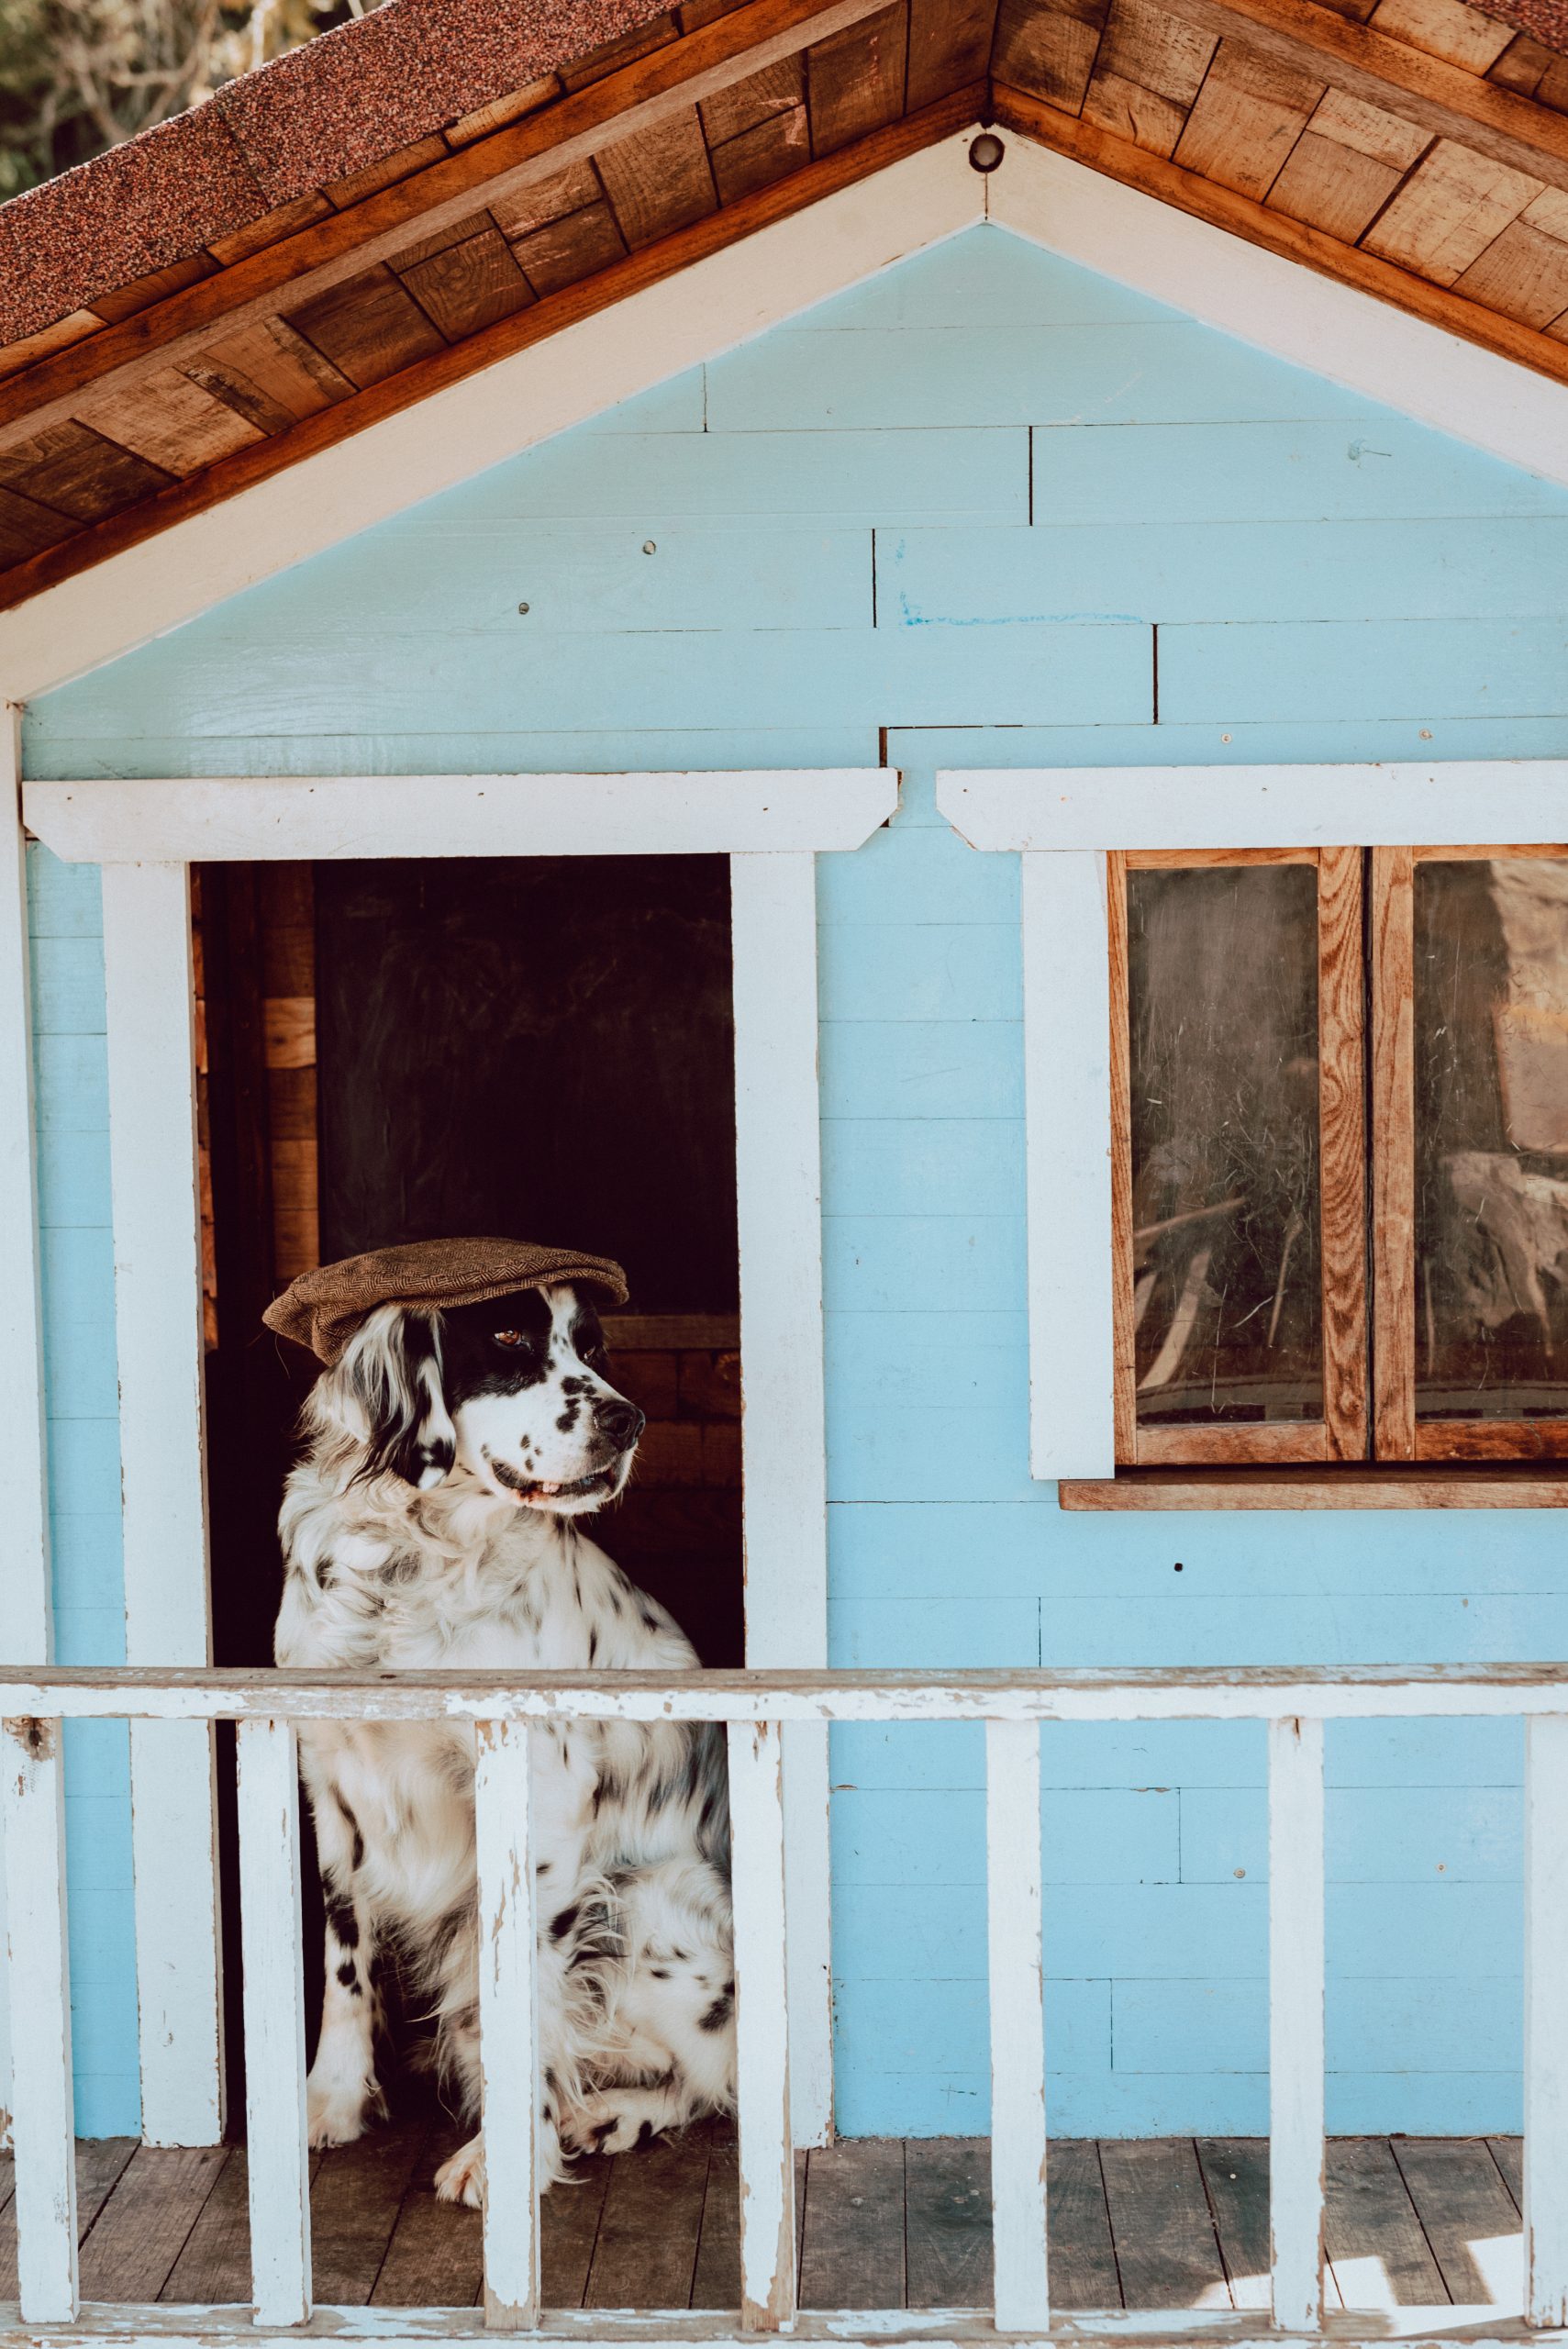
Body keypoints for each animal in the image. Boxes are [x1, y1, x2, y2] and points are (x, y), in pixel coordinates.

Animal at [274, 1286, 737, 2199]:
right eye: (510, 1335)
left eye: (591, 1347)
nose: (627, 1420)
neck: (411, 1568)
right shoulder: (334, 1791)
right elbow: (345, 1964)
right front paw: (331, 2101)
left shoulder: (542, 1802)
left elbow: (524, 1996)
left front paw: (502, 2156)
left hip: (648, 1896)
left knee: (715, 2079)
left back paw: (609, 2114)